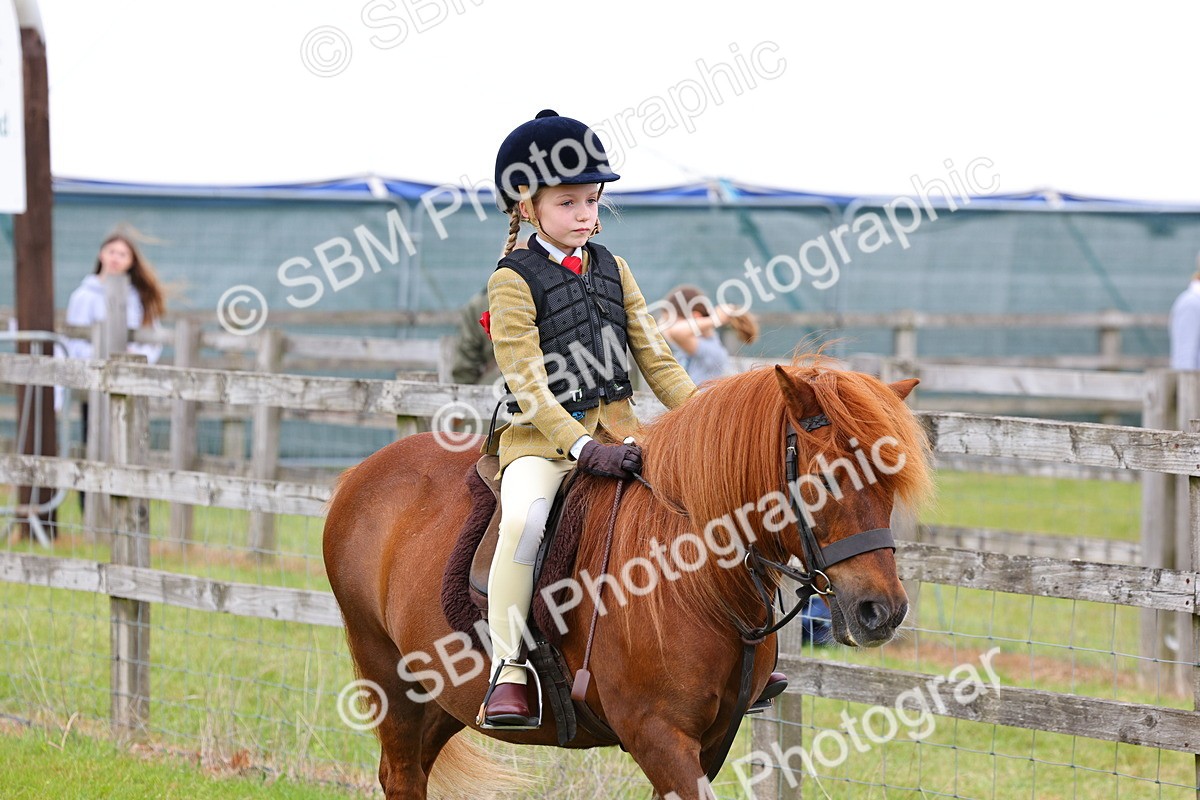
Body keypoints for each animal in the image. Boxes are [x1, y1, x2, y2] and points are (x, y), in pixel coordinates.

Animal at [322, 361, 933, 799]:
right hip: (391, 680)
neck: (694, 578)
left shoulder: (708, 741)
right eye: (825, 478)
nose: (882, 611)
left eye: (888, 481)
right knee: (402, 776)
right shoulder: (657, 734)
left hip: (441, 699)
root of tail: (360, 473)